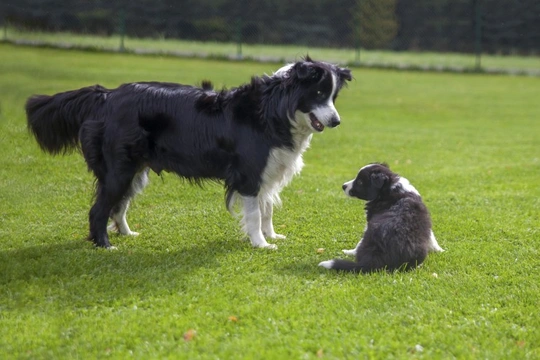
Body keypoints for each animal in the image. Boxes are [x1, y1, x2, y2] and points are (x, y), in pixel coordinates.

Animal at [25, 56, 352, 249]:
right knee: (100, 208)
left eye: (333, 97)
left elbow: (267, 207)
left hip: (135, 170)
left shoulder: (269, 171)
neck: (276, 109)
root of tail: (106, 95)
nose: (337, 121)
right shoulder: (249, 174)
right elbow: (254, 212)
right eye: (318, 93)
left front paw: (272, 235)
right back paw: (105, 245)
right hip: (119, 168)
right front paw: (261, 244)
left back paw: (127, 234)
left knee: (118, 206)